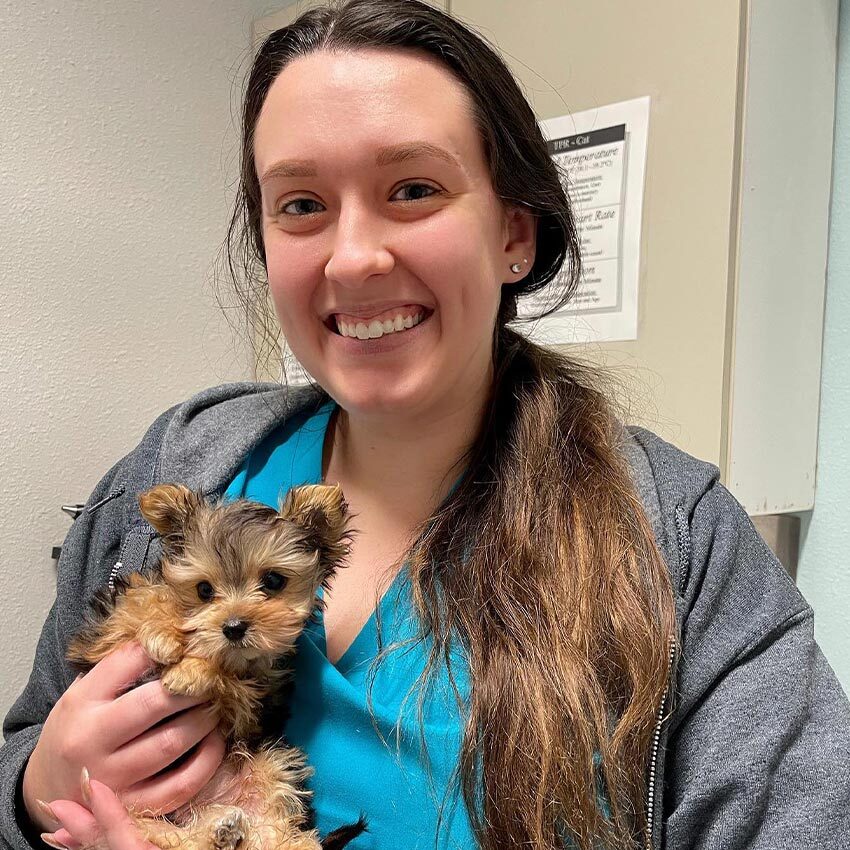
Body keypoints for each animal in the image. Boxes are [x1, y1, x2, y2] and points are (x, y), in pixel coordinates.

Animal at [63, 484, 362, 848]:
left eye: (274, 581)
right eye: (203, 590)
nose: (233, 627)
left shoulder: (253, 700)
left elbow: (233, 682)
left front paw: (191, 671)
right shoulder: (102, 633)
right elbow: (142, 601)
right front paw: (164, 632)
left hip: (272, 763)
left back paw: (245, 833)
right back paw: (219, 830)